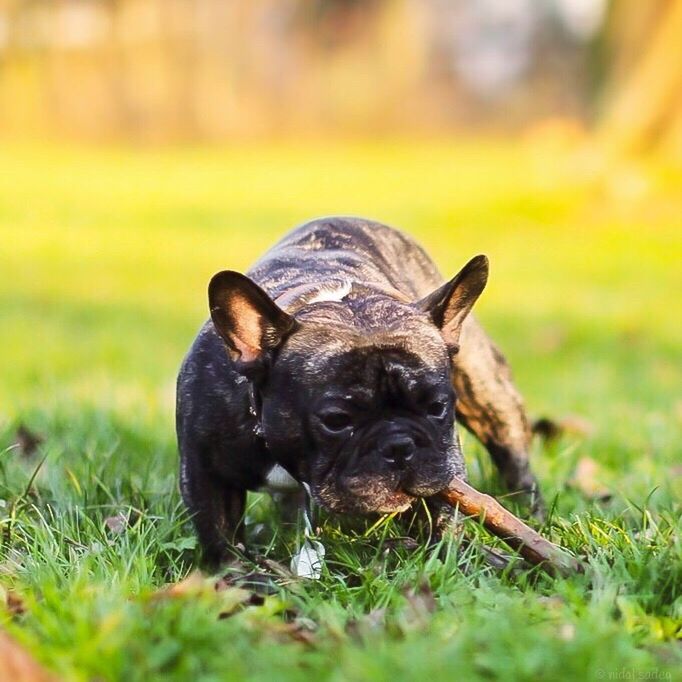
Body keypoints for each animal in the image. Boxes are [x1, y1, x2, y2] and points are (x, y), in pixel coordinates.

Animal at [177, 218, 540, 564]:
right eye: (336, 421)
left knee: (514, 457)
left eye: (437, 408)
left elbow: (441, 517)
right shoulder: (204, 472)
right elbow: (221, 535)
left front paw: (444, 555)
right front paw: (238, 573)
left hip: (488, 394)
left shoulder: (444, 460)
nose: (399, 445)